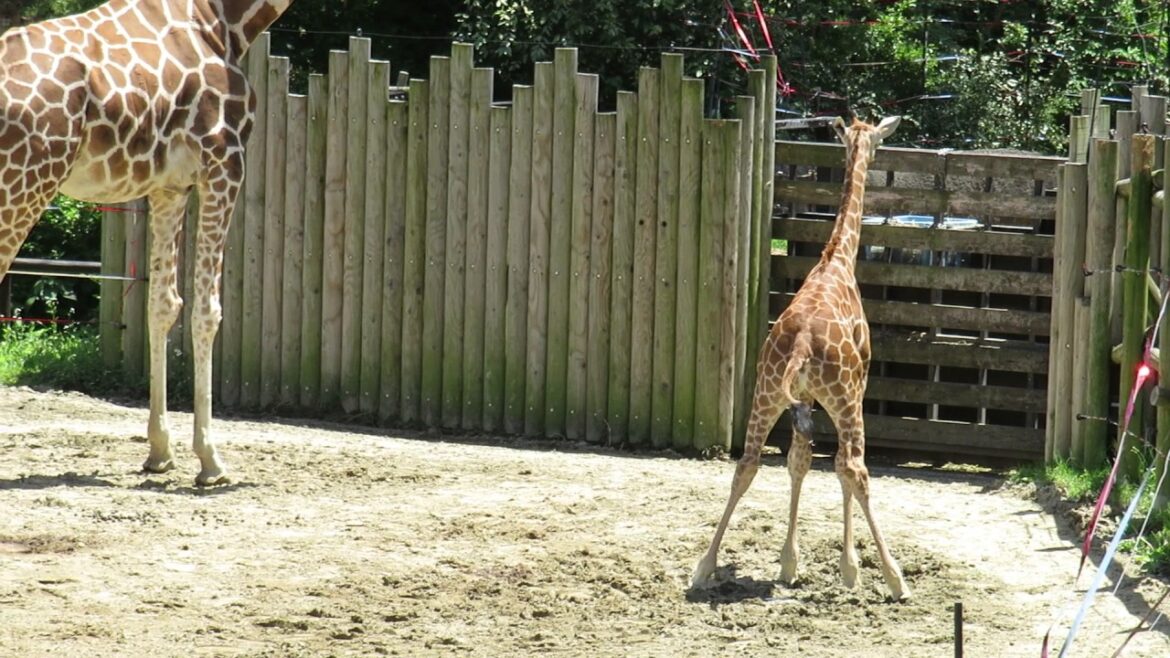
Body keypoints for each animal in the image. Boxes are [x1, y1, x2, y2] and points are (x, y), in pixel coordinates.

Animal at [0, 0, 294, 485]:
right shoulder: (224, 163)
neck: (224, 20)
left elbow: (163, 305)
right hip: (26, 184)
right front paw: (211, 461)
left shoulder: (169, 187)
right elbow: (207, 312)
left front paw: (160, 453)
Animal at [691, 116, 909, 600]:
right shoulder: (858, 386)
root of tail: (802, 347)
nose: (874, 152)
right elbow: (838, 469)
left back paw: (703, 567)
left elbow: (798, 461)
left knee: (748, 462)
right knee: (855, 468)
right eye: (878, 139)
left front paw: (790, 563)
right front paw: (850, 569)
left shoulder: (804, 400)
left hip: (767, 393)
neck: (837, 260)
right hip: (844, 400)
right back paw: (896, 578)